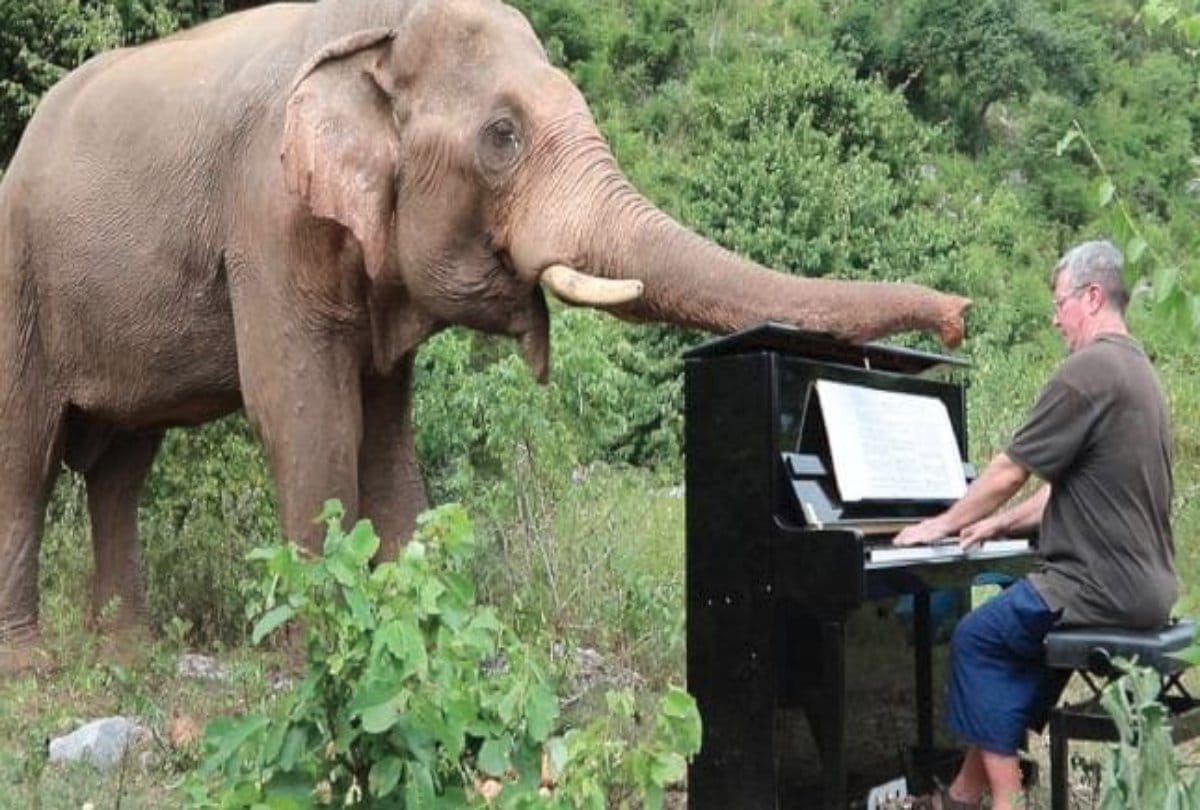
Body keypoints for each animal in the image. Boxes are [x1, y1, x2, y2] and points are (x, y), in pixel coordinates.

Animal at [0, 0, 969, 670]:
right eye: (502, 137)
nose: (959, 314)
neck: (377, 34)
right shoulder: (269, 216)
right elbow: (308, 417)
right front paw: (317, 657)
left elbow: (386, 434)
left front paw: (415, 637)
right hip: (18, 280)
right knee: (28, 453)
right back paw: (33, 663)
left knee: (122, 467)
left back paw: (124, 649)